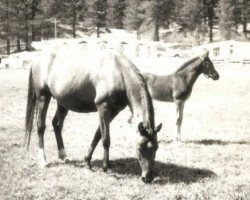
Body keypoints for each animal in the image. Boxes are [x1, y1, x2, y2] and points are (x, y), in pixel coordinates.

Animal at [24, 46, 162, 184]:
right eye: (140, 148)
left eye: (156, 148)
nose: (148, 177)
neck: (118, 71)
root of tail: (37, 58)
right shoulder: (103, 107)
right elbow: (106, 138)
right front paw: (106, 167)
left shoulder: (114, 111)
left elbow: (98, 134)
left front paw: (87, 162)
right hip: (43, 97)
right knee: (41, 126)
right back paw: (43, 160)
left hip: (62, 102)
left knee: (57, 125)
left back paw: (63, 155)